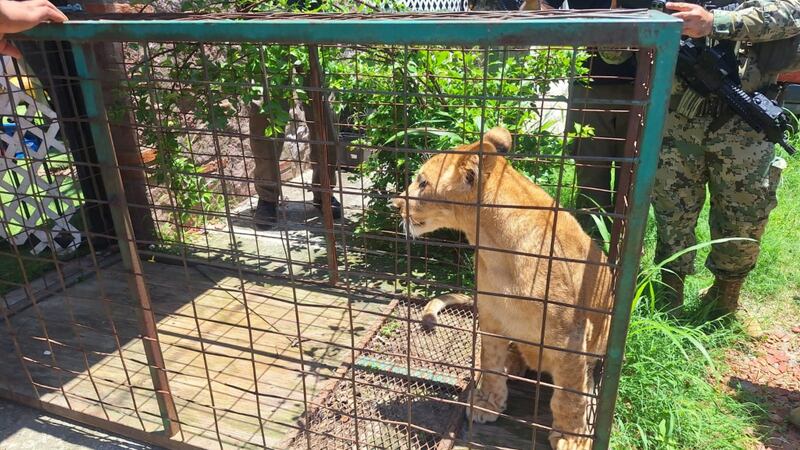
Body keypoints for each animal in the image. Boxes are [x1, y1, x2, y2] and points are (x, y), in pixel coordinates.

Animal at [392, 127, 613, 450]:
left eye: (422, 182)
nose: (394, 204)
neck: (492, 244)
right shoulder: (493, 317)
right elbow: (491, 363)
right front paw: (487, 403)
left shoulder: (569, 336)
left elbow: (569, 396)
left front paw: (572, 438)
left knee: (584, 378)